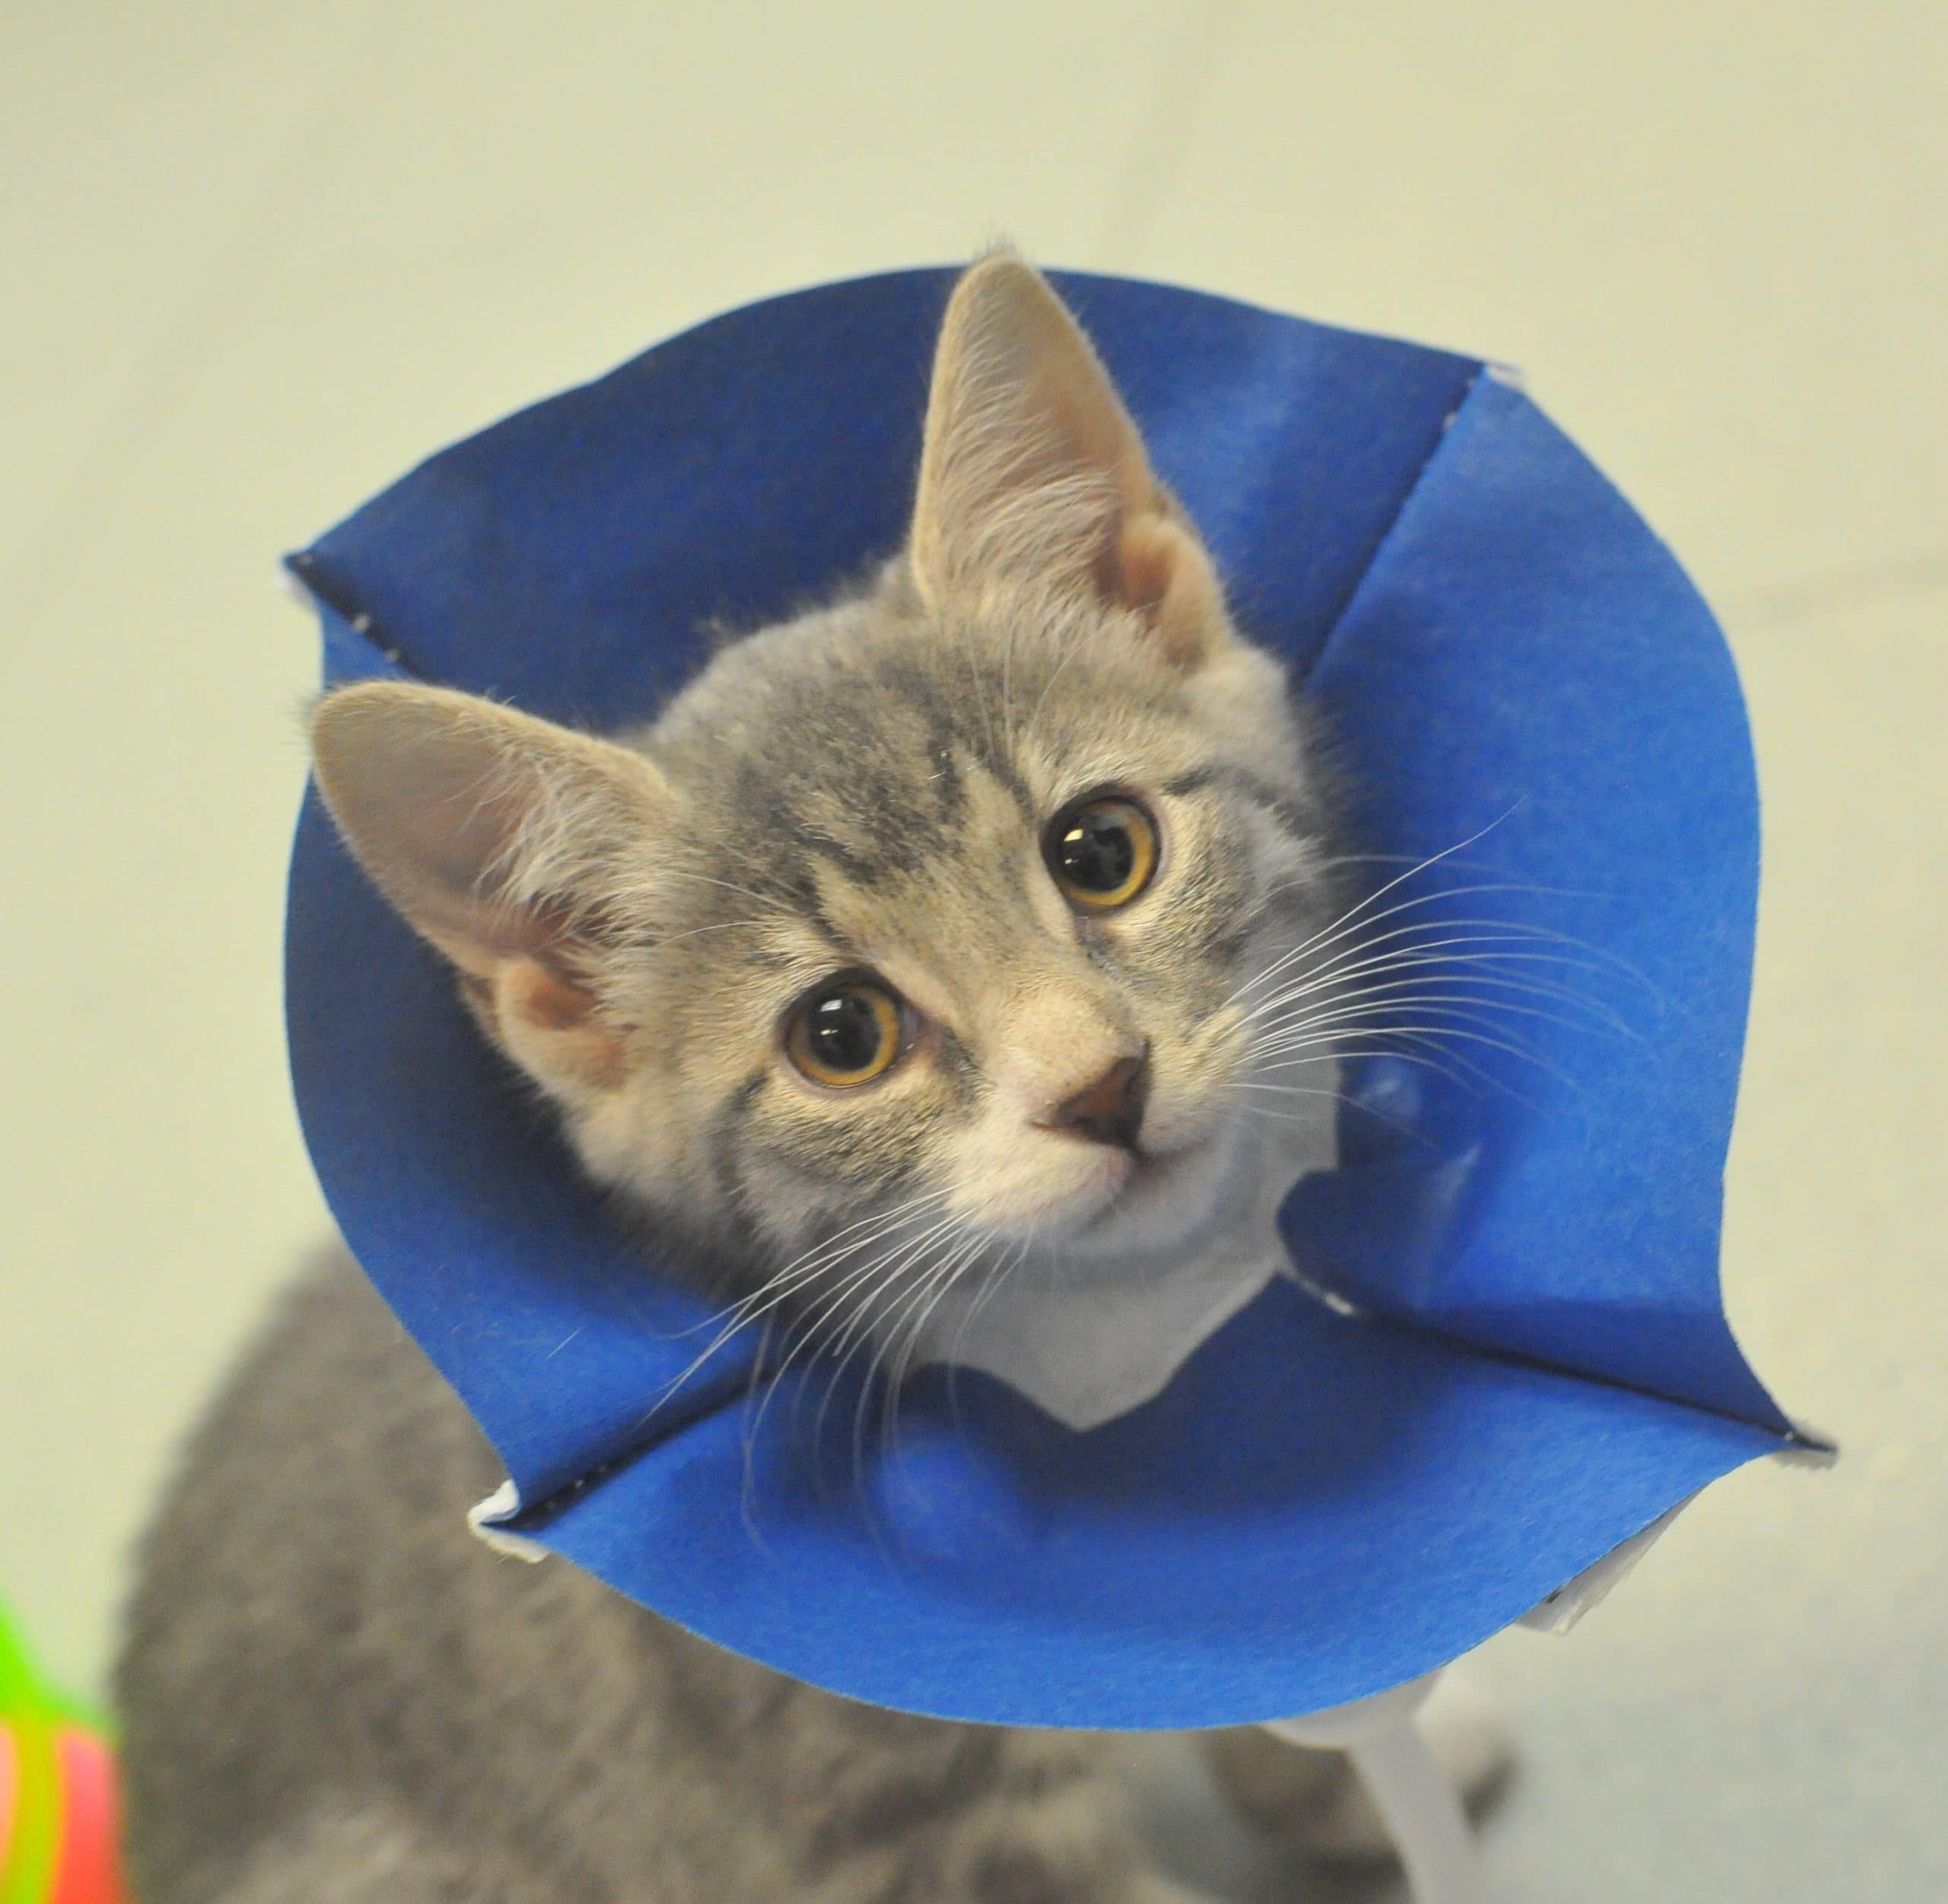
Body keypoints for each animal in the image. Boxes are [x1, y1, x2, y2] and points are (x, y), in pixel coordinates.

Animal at [117, 257, 1488, 1902]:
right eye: (841, 1036)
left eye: (1101, 850)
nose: (1099, 1084)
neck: (1100, 1344)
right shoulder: (899, 1823)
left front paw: (1356, 1790)